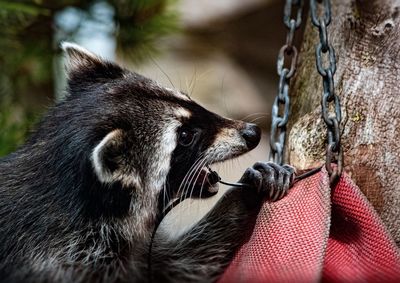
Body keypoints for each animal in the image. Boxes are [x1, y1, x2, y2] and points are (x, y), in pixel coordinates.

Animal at [0, 42, 294, 283]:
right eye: (185, 136)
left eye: (190, 100)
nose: (252, 133)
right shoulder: (61, 262)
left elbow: (185, 264)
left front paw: (246, 192)